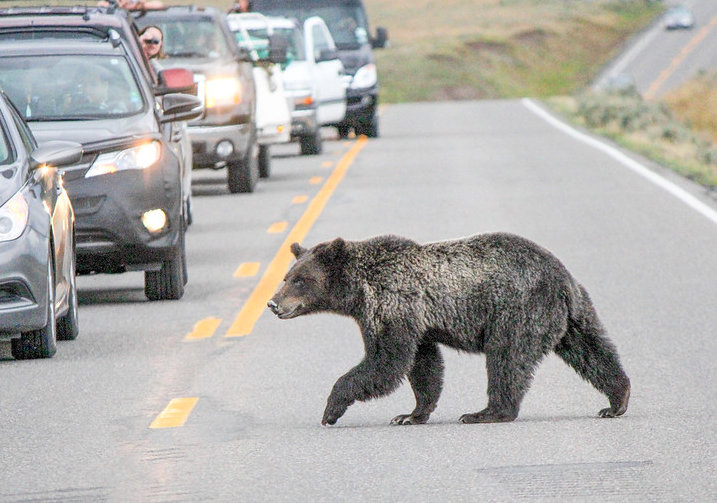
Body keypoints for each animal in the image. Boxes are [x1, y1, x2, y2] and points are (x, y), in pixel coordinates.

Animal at [267, 233, 631, 426]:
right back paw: (616, 400)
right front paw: (411, 414)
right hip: (571, 316)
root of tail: (562, 277)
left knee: (506, 359)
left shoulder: (392, 306)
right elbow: (423, 366)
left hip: (517, 310)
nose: (272, 303)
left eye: (300, 279)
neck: (358, 292)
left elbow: (385, 363)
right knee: (592, 351)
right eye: (286, 277)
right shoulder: (418, 323)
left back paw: (486, 412)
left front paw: (331, 409)